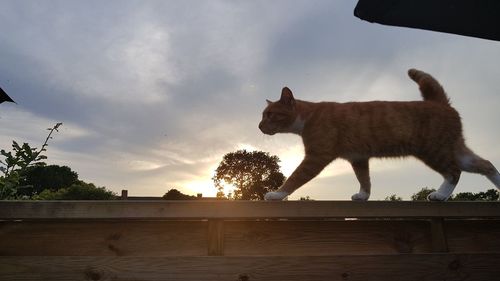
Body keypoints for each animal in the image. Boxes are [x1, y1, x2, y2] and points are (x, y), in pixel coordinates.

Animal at [260, 68, 500, 200]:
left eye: (270, 114)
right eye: (263, 115)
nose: (260, 126)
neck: (309, 116)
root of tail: (439, 103)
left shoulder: (316, 156)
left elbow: (295, 176)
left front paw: (277, 194)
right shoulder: (358, 158)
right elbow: (364, 179)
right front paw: (363, 195)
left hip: (433, 150)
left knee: (453, 172)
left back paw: (440, 195)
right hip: (455, 149)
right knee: (486, 164)